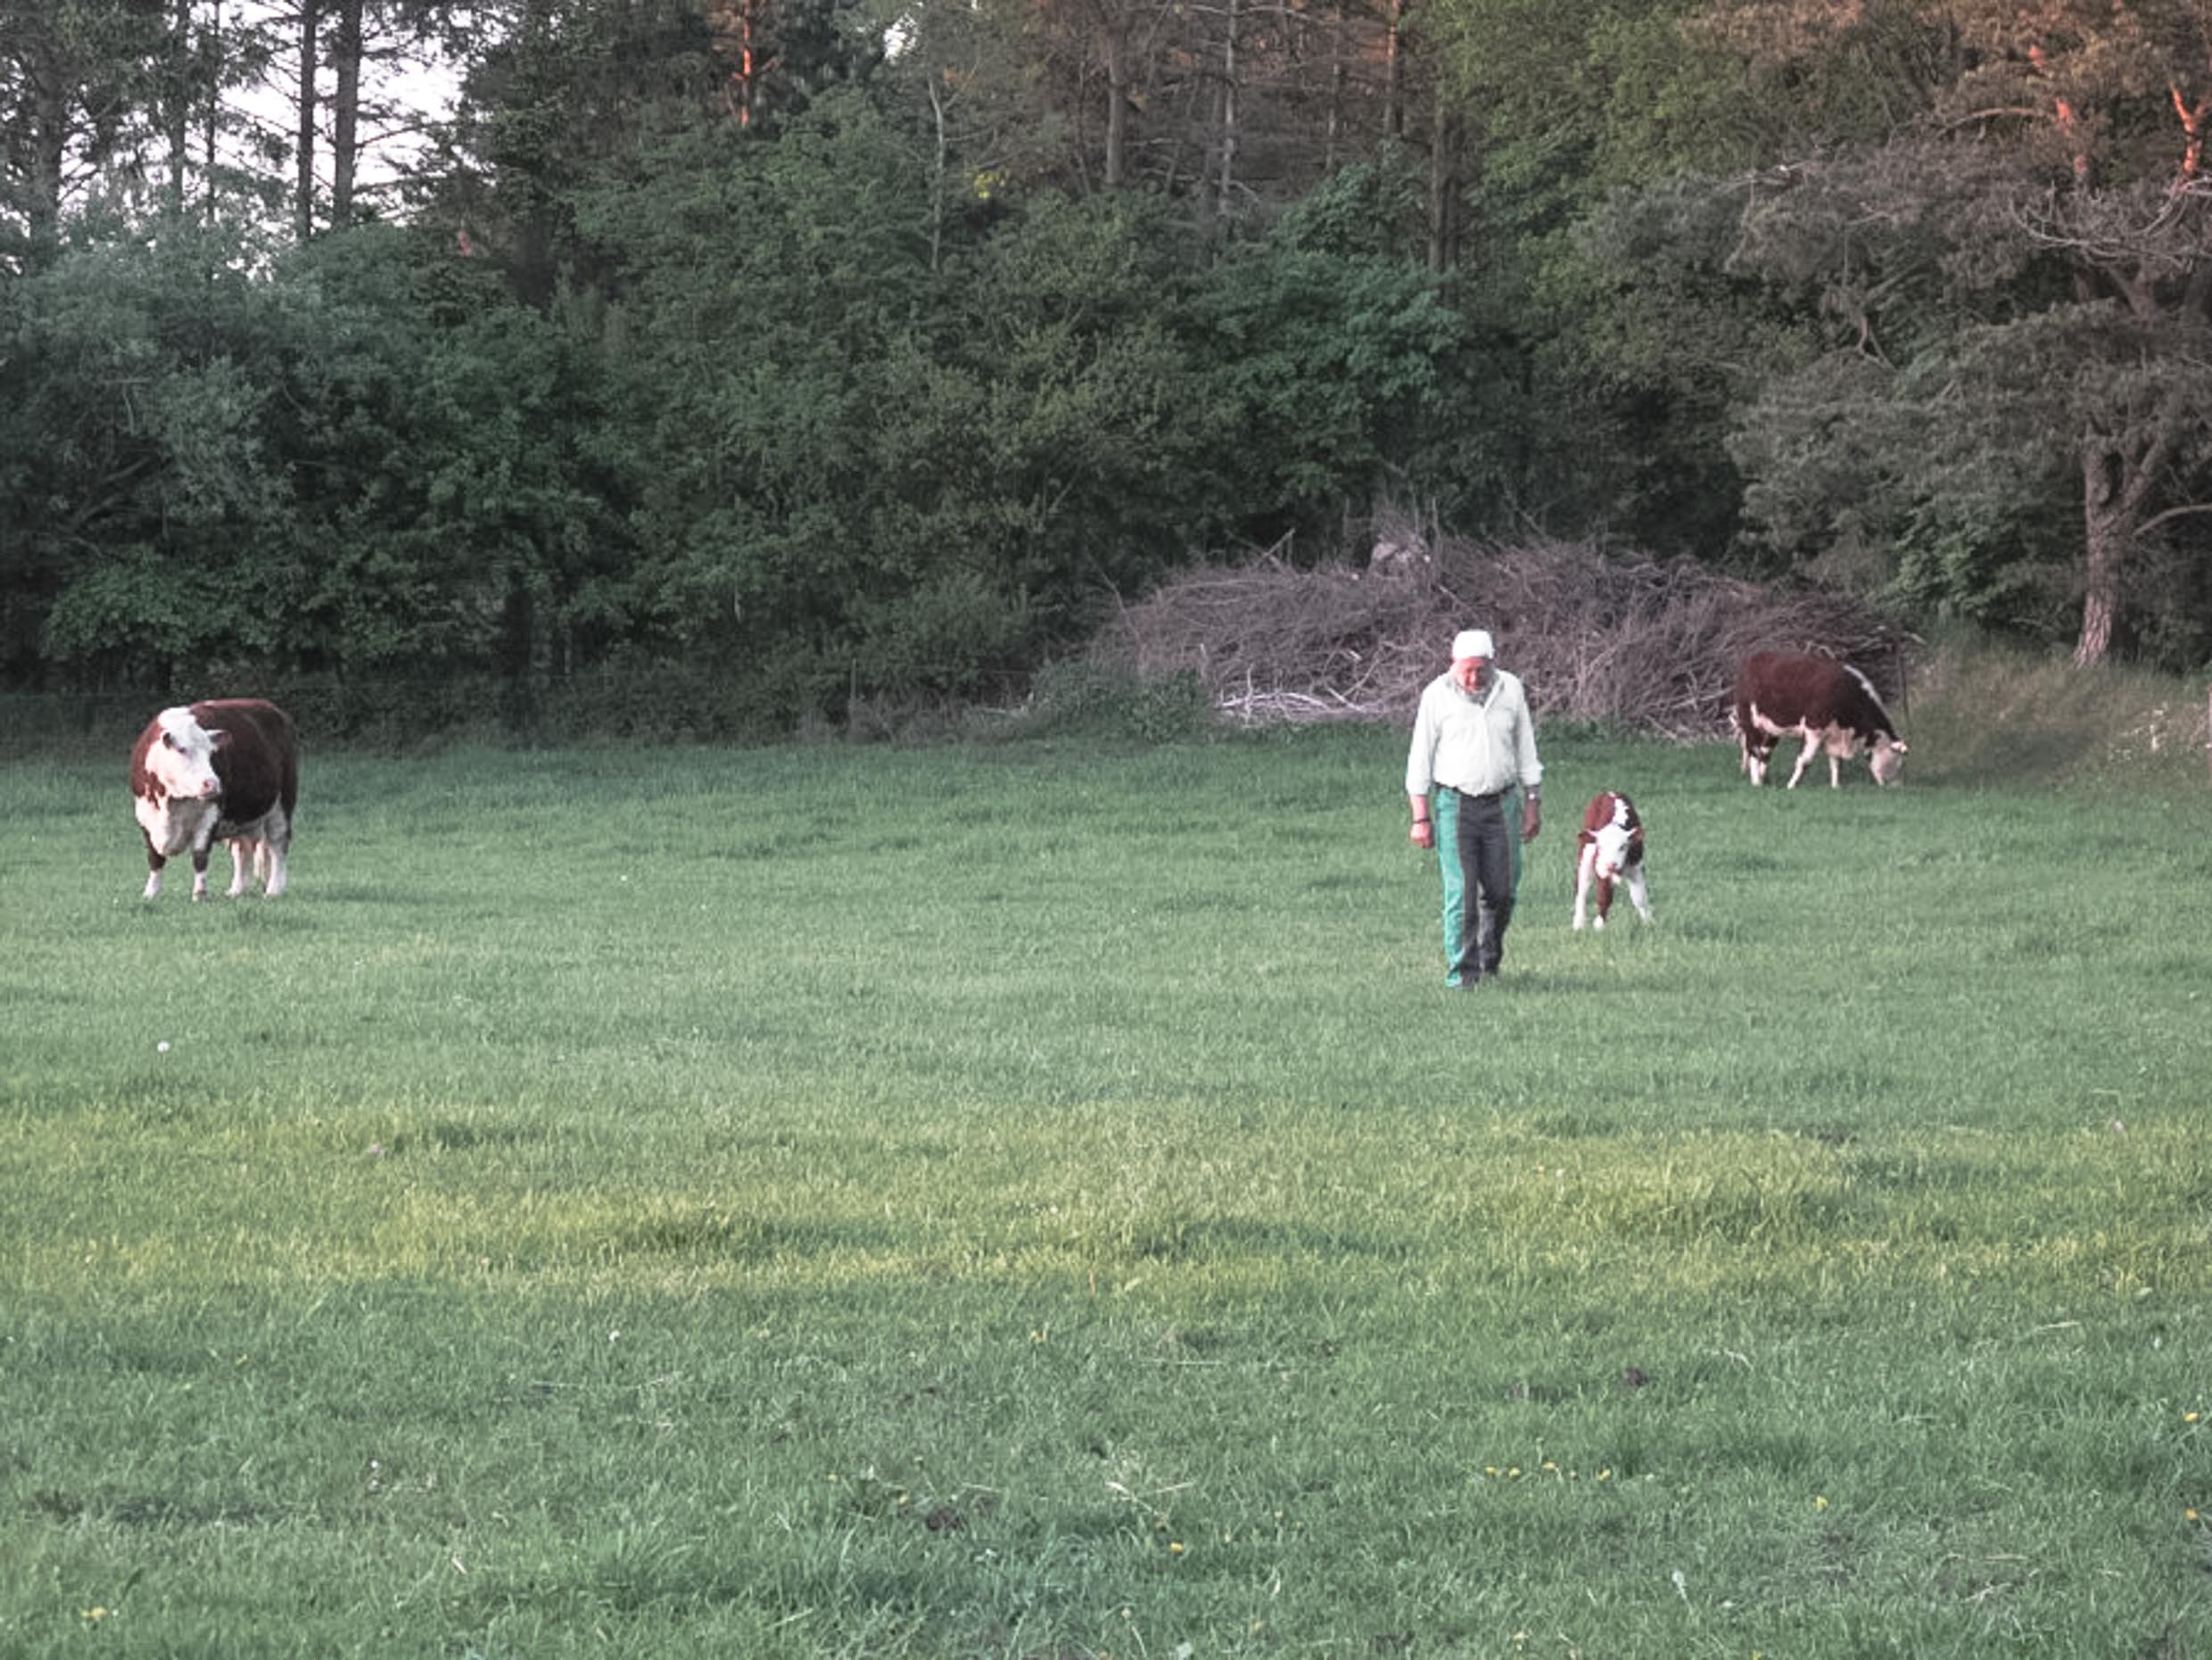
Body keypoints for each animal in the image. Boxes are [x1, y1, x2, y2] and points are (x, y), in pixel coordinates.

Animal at [129, 704, 298, 912]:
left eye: (211, 753)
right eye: (182, 750)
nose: (212, 783)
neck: (172, 801)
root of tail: (269, 707)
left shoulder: (210, 816)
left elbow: (200, 856)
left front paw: (200, 894)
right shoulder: (145, 818)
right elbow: (155, 857)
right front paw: (151, 893)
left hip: (282, 803)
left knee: (278, 844)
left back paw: (274, 889)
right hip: (239, 818)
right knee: (241, 850)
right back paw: (237, 890)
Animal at [1565, 797, 1655, 938]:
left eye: (1623, 846)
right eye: (1600, 847)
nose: (1611, 864)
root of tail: (1609, 794)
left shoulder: (1636, 868)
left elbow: (1639, 897)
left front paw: (1648, 922)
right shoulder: (1601, 869)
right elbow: (1604, 896)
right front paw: (1599, 925)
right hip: (1585, 857)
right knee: (1581, 890)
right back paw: (1579, 924)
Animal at [1725, 655, 1902, 788]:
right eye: (1895, 760)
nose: (1894, 786)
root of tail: (1754, 659)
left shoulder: (1834, 735)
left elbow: (1836, 762)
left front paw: (1836, 786)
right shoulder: (1813, 729)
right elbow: (1805, 760)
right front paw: (1791, 785)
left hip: (1771, 729)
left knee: (1765, 752)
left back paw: (1764, 779)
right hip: (1751, 724)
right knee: (1753, 750)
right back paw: (1756, 782)